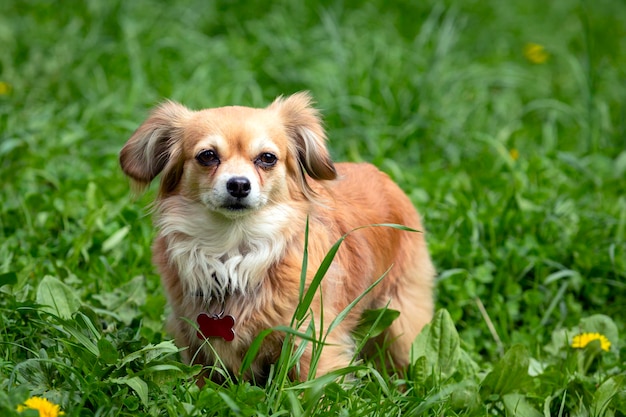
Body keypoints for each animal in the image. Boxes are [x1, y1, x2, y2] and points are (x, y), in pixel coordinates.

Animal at [120, 92, 434, 382]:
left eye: (267, 158)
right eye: (207, 156)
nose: (238, 184)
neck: (233, 248)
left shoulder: (310, 338)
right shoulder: (192, 340)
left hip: (401, 322)